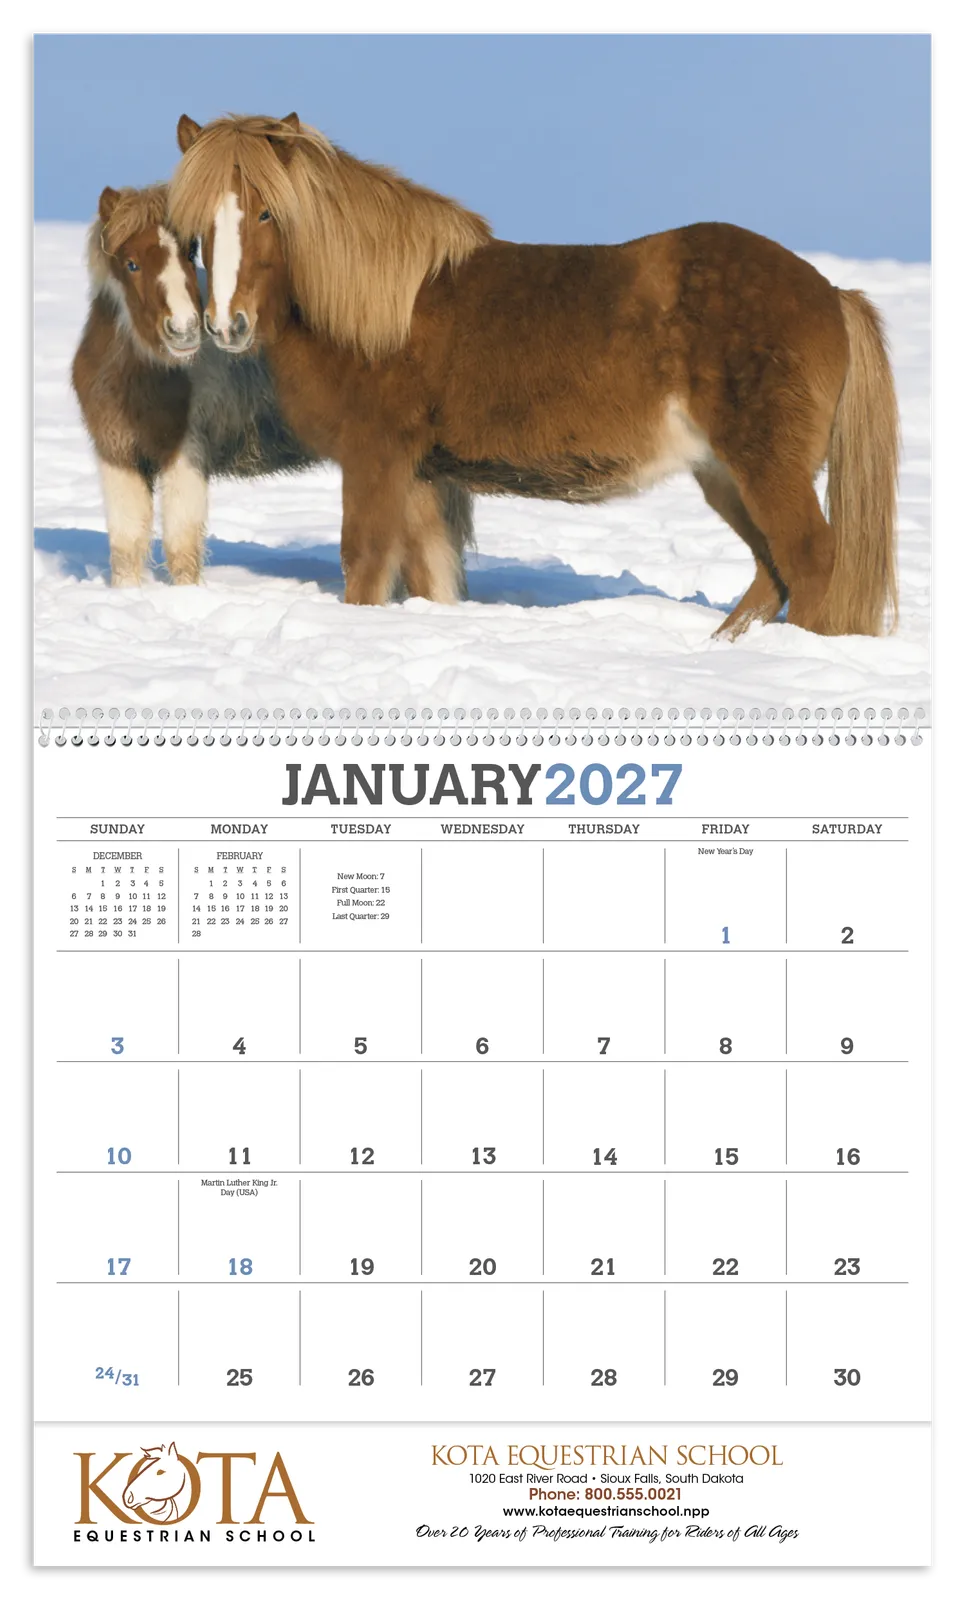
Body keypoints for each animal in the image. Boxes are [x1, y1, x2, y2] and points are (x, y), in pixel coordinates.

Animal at [71, 183, 473, 588]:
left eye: (188, 252)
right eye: (131, 263)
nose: (184, 330)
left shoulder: (183, 457)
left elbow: (181, 548)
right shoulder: (118, 458)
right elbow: (127, 546)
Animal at [169, 112, 900, 638]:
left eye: (268, 212)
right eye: (197, 226)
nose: (226, 325)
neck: (383, 310)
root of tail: (830, 292)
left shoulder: (375, 459)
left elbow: (365, 564)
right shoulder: (422, 476)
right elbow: (431, 576)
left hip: (765, 468)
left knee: (809, 562)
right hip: (723, 475)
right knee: (773, 572)